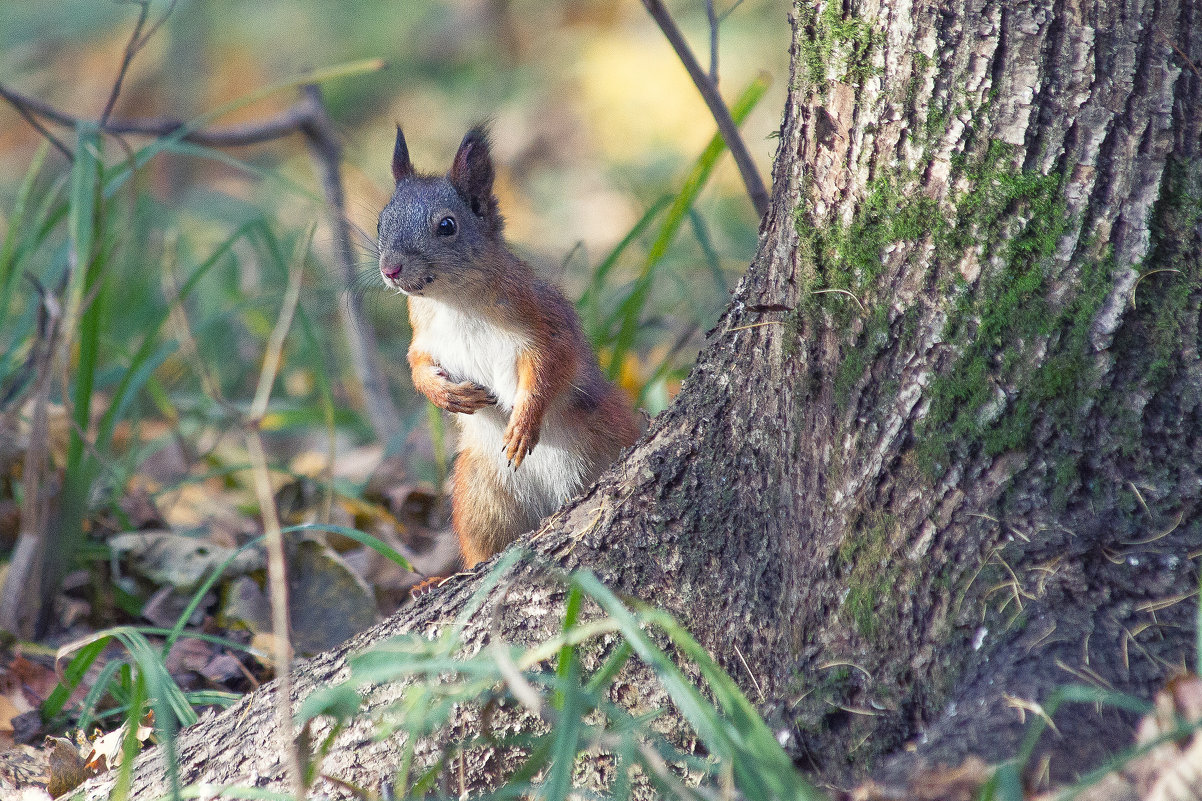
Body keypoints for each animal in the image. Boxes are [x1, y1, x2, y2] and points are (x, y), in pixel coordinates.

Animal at [377, 125, 644, 574]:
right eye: (381, 221)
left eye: (447, 226)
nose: (389, 269)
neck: (454, 302)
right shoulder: (424, 338)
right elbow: (416, 365)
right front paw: (445, 394)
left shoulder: (542, 325)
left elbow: (548, 369)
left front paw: (523, 424)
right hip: (479, 498)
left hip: (605, 436)